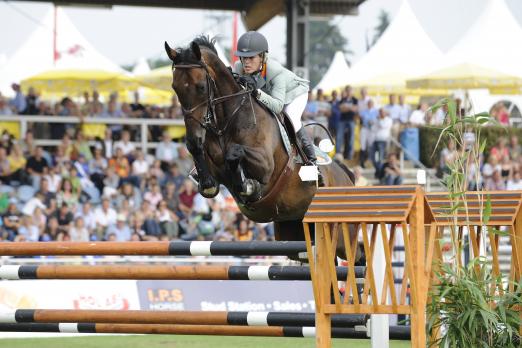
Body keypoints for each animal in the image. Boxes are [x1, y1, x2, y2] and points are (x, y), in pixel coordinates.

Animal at [165, 36, 356, 258]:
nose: (193, 137)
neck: (227, 120)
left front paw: (248, 186)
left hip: (342, 237)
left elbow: (234, 153)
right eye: (175, 87)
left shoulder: (265, 166)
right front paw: (207, 180)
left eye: (201, 87)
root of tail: (346, 176)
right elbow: (206, 170)